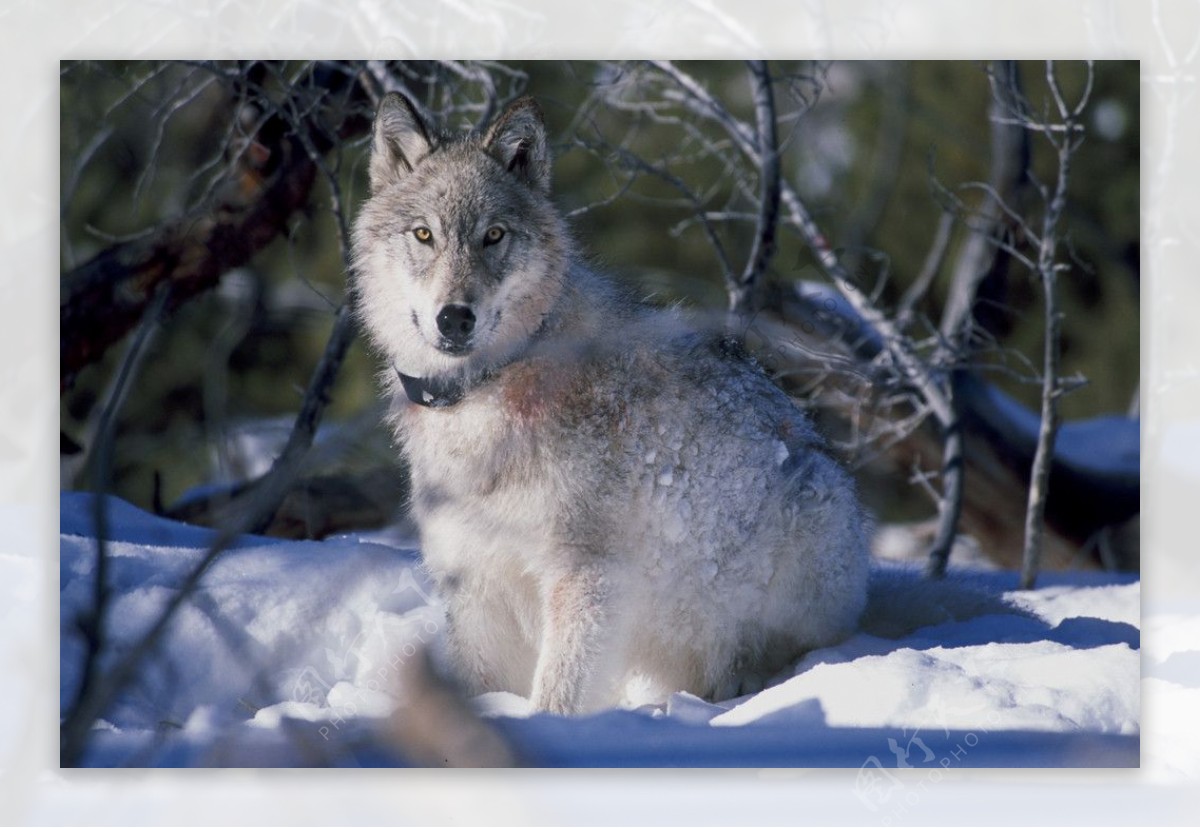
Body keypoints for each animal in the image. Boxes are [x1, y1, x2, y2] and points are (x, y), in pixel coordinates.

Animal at [350, 90, 873, 710]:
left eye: (494, 236)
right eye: (424, 235)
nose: (455, 317)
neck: (487, 390)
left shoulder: (587, 576)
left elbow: (558, 694)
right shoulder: (475, 583)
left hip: (807, 514)